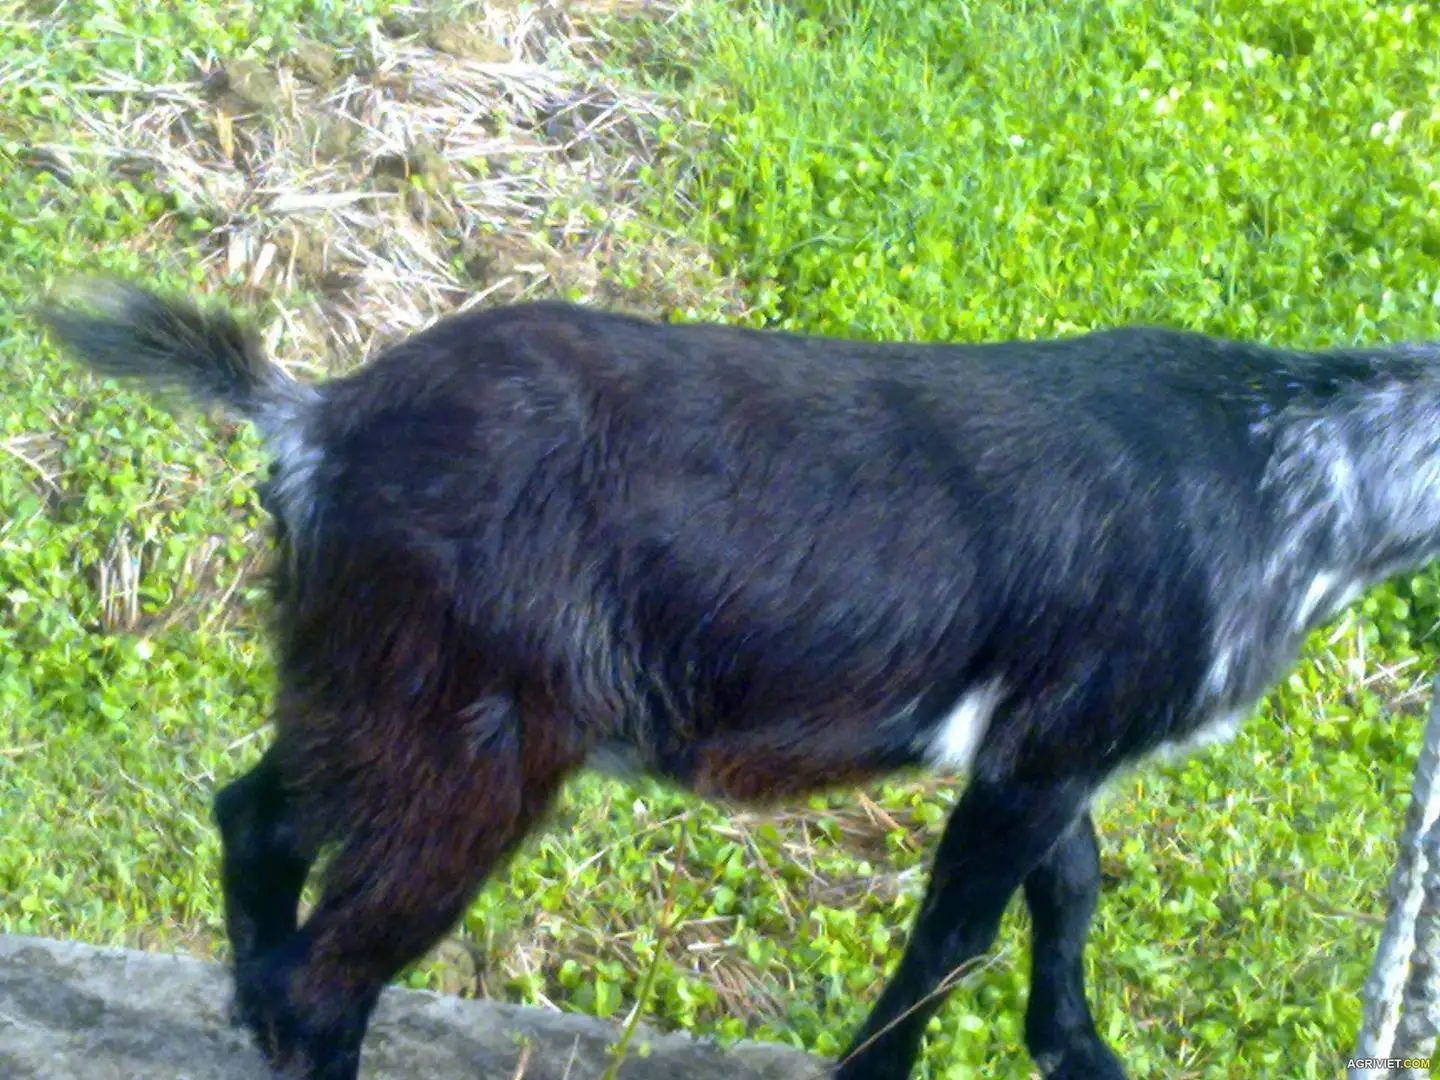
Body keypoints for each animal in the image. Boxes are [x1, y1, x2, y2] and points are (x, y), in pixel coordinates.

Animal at [38, 277, 1440, 1080]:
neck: (1293, 475)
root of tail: (315, 421)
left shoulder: (1054, 743)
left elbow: (1071, 890)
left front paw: (1080, 1054)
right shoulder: (1052, 743)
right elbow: (960, 932)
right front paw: (882, 1075)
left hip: (359, 685)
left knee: (256, 820)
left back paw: (246, 1014)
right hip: (474, 742)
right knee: (340, 957)